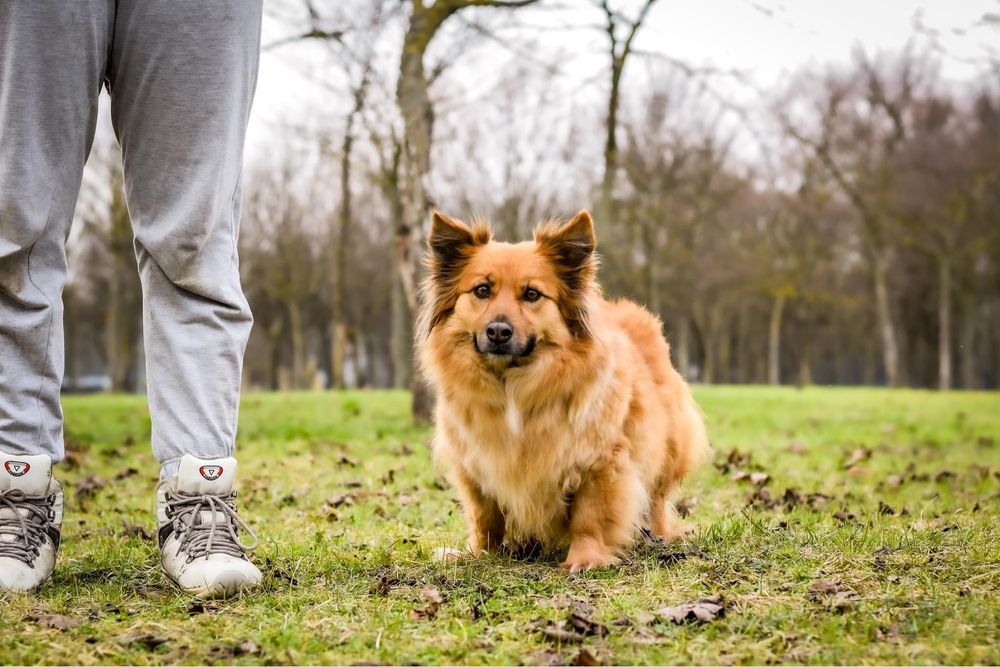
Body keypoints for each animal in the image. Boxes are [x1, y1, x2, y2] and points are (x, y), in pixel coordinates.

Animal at [418, 211, 708, 572]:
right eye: (482, 290)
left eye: (532, 294)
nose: (498, 331)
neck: (512, 385)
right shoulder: (473, 466)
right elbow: (484, 516)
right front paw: (479, 553)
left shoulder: (600, 463)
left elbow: (589, 515)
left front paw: (585, 558)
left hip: (664, 450)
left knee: (654, 499)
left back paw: (657, 535)